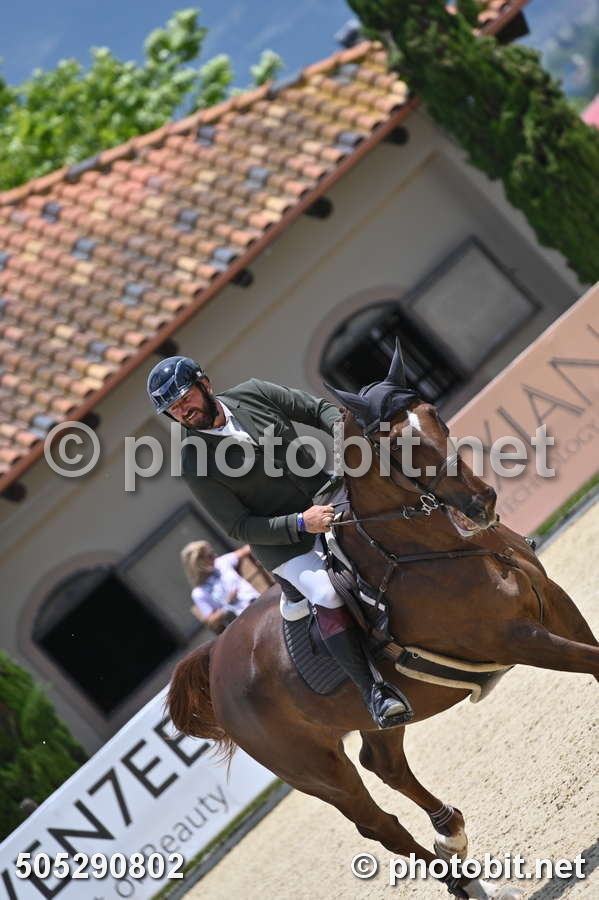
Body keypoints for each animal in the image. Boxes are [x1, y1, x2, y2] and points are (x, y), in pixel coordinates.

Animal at [167, 343, 598, 899]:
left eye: (435, 415)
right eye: (395, 444)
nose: (481, 503)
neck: (443, 548)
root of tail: (217, 655)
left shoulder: (554, 602)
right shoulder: (516, 638)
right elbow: (595, 663)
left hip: (376, 717)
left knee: (385, 764)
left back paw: (452, 835)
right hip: (317, 770)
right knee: (379, 824)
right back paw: (457, 876)